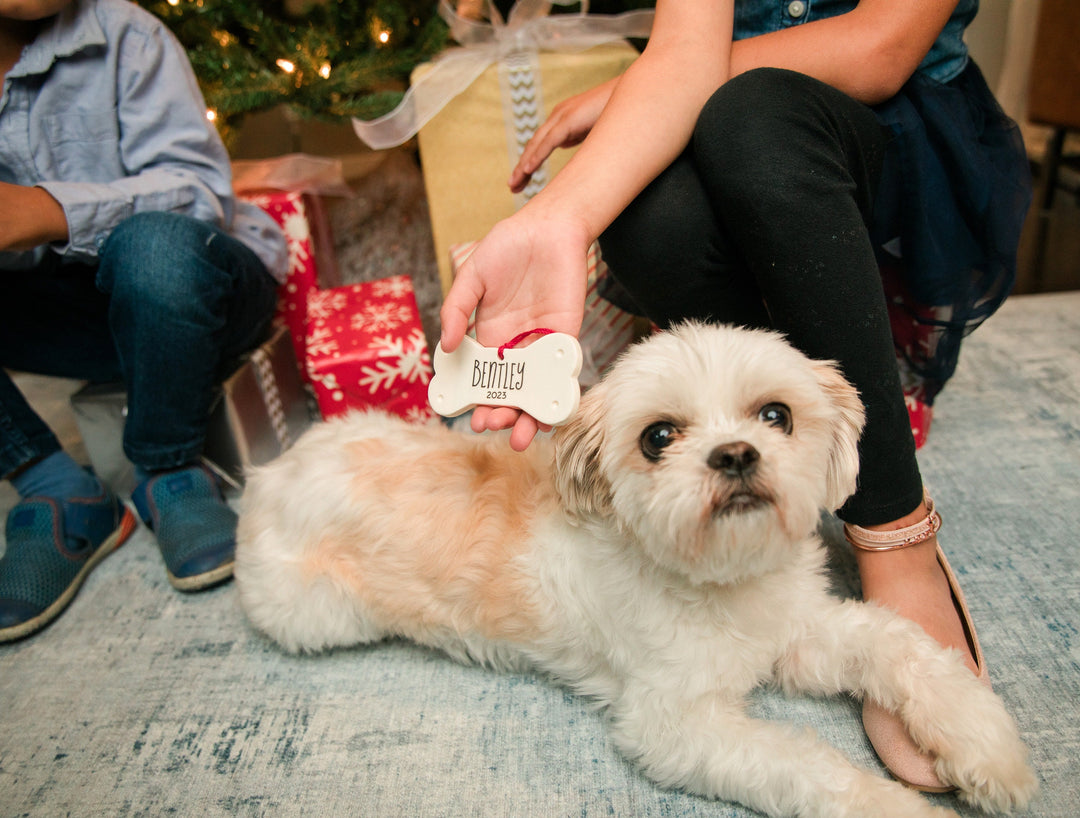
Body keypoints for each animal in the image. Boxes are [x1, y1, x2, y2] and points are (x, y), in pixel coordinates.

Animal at [234, 319, 1028, 816]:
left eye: (776, 416)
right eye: (658, 438)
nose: (735, 455)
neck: (719, 584)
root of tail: (271, 471)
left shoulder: (798, 633)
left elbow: (900, 647)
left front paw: (986, 747)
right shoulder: (676, 727)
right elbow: (813, 768)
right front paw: (895, 806)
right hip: (317, 617)